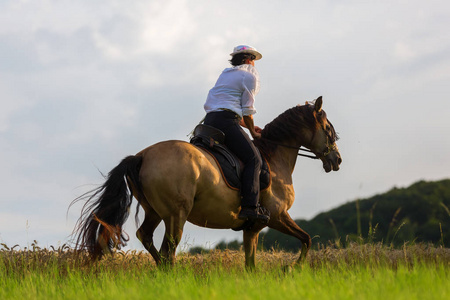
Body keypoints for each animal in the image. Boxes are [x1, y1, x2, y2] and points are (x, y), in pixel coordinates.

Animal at [72, 96, 342, 268]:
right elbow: (307, 239)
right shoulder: (277, 216)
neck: (274, 157)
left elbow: (251, 264)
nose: (337, 159)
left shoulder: (252, 228)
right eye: (329, 130)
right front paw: (291, 269)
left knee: (146, 237)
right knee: (168, 250)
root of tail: (142, 156)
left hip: (155, 211)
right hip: (176, 215)